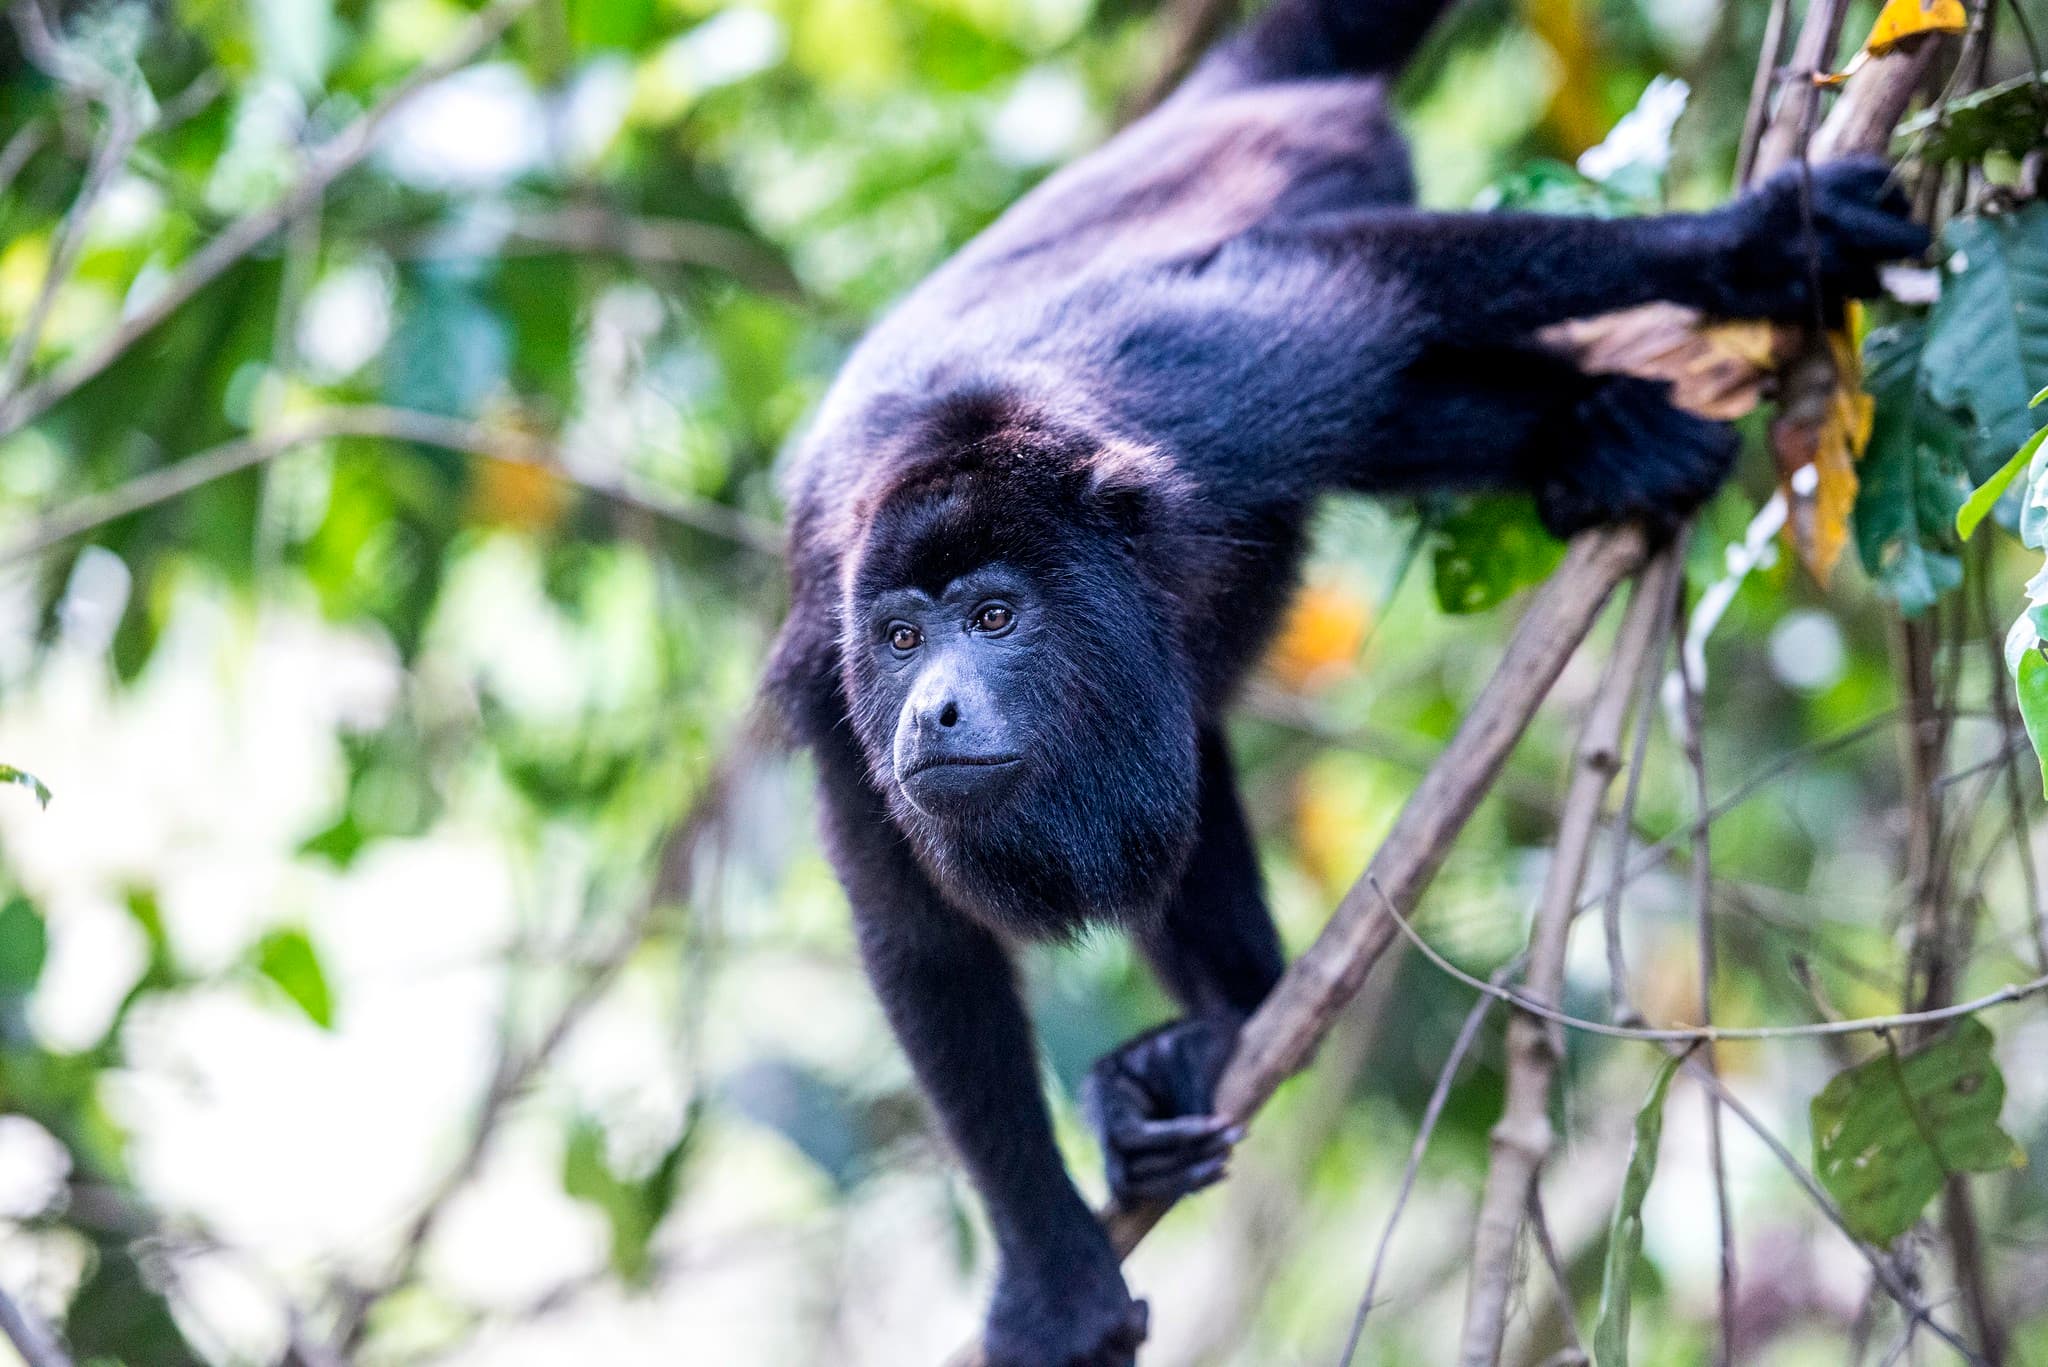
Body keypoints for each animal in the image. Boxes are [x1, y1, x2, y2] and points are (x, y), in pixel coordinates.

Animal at [764, 0, 1927, 1359]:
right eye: (901, 639)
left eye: (994, 616)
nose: (932, 706)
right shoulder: (830, 671)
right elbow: (922, 946)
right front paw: (1053, 1274)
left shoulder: (1220, 388)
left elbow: (1374, 283)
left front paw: (1755, 244)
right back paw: (1204, 1044)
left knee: (1402, 381)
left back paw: (1597, 426)